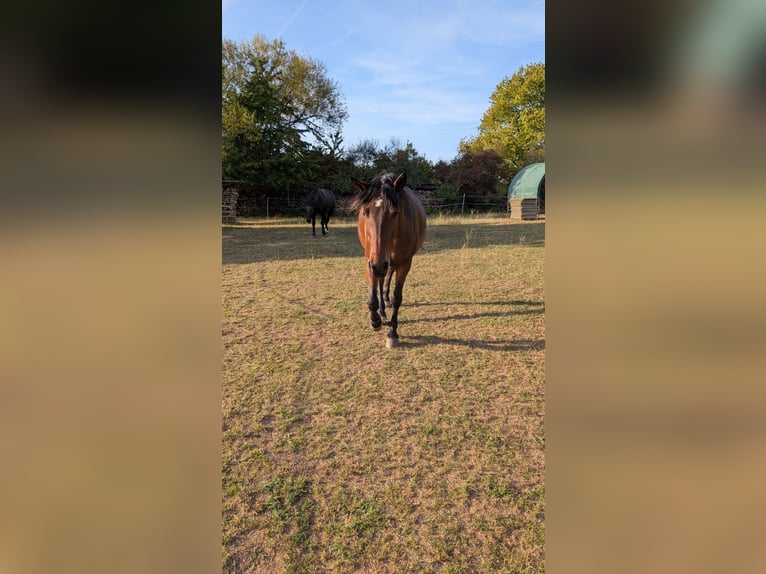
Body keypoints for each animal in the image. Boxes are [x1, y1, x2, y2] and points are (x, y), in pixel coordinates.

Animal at [350, 171, 426, 348]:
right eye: (365, 212)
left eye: (395, 212)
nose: (378, 266)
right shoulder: (369, 261)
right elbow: (371, 298)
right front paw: (375, 321)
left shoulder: (404, 263)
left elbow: (397, 297)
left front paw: (392, 333)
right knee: (380, 280)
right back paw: (382, 310)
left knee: (388, 275)